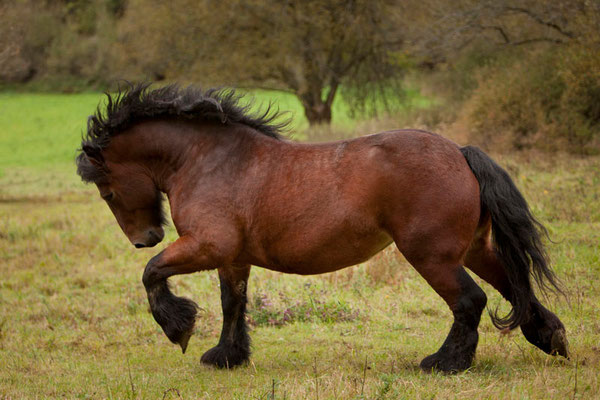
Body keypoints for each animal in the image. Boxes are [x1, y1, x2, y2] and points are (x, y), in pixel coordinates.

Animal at [77, 83, 568, 374]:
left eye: (107, 190)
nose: (145, 239)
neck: (208, 160)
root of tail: (460, 153)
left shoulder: (206, 246)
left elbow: (152, 274)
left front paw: (178, 328)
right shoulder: (232, 259)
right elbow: (233, 304)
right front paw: (227, 357)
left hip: (432, 255)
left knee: (470, 301)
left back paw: (444, 362)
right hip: (473, 250)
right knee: (515, 287)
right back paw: (551, 339)